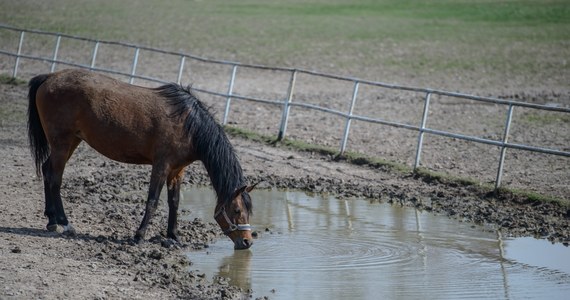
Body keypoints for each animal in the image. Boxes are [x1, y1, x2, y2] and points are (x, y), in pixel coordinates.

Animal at [27, 69, 254, 250]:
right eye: (236, 210)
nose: (247, 242)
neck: (189, 125)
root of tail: (49, 77)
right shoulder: (161, 166)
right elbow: (152, 201)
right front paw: (139, 236)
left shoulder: (177, 171)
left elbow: (174, 202)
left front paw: (174, 236)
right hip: (62, 143)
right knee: (55, 179)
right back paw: (65, 223)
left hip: (71, 141)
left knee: (47, 171)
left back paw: (51, 220)